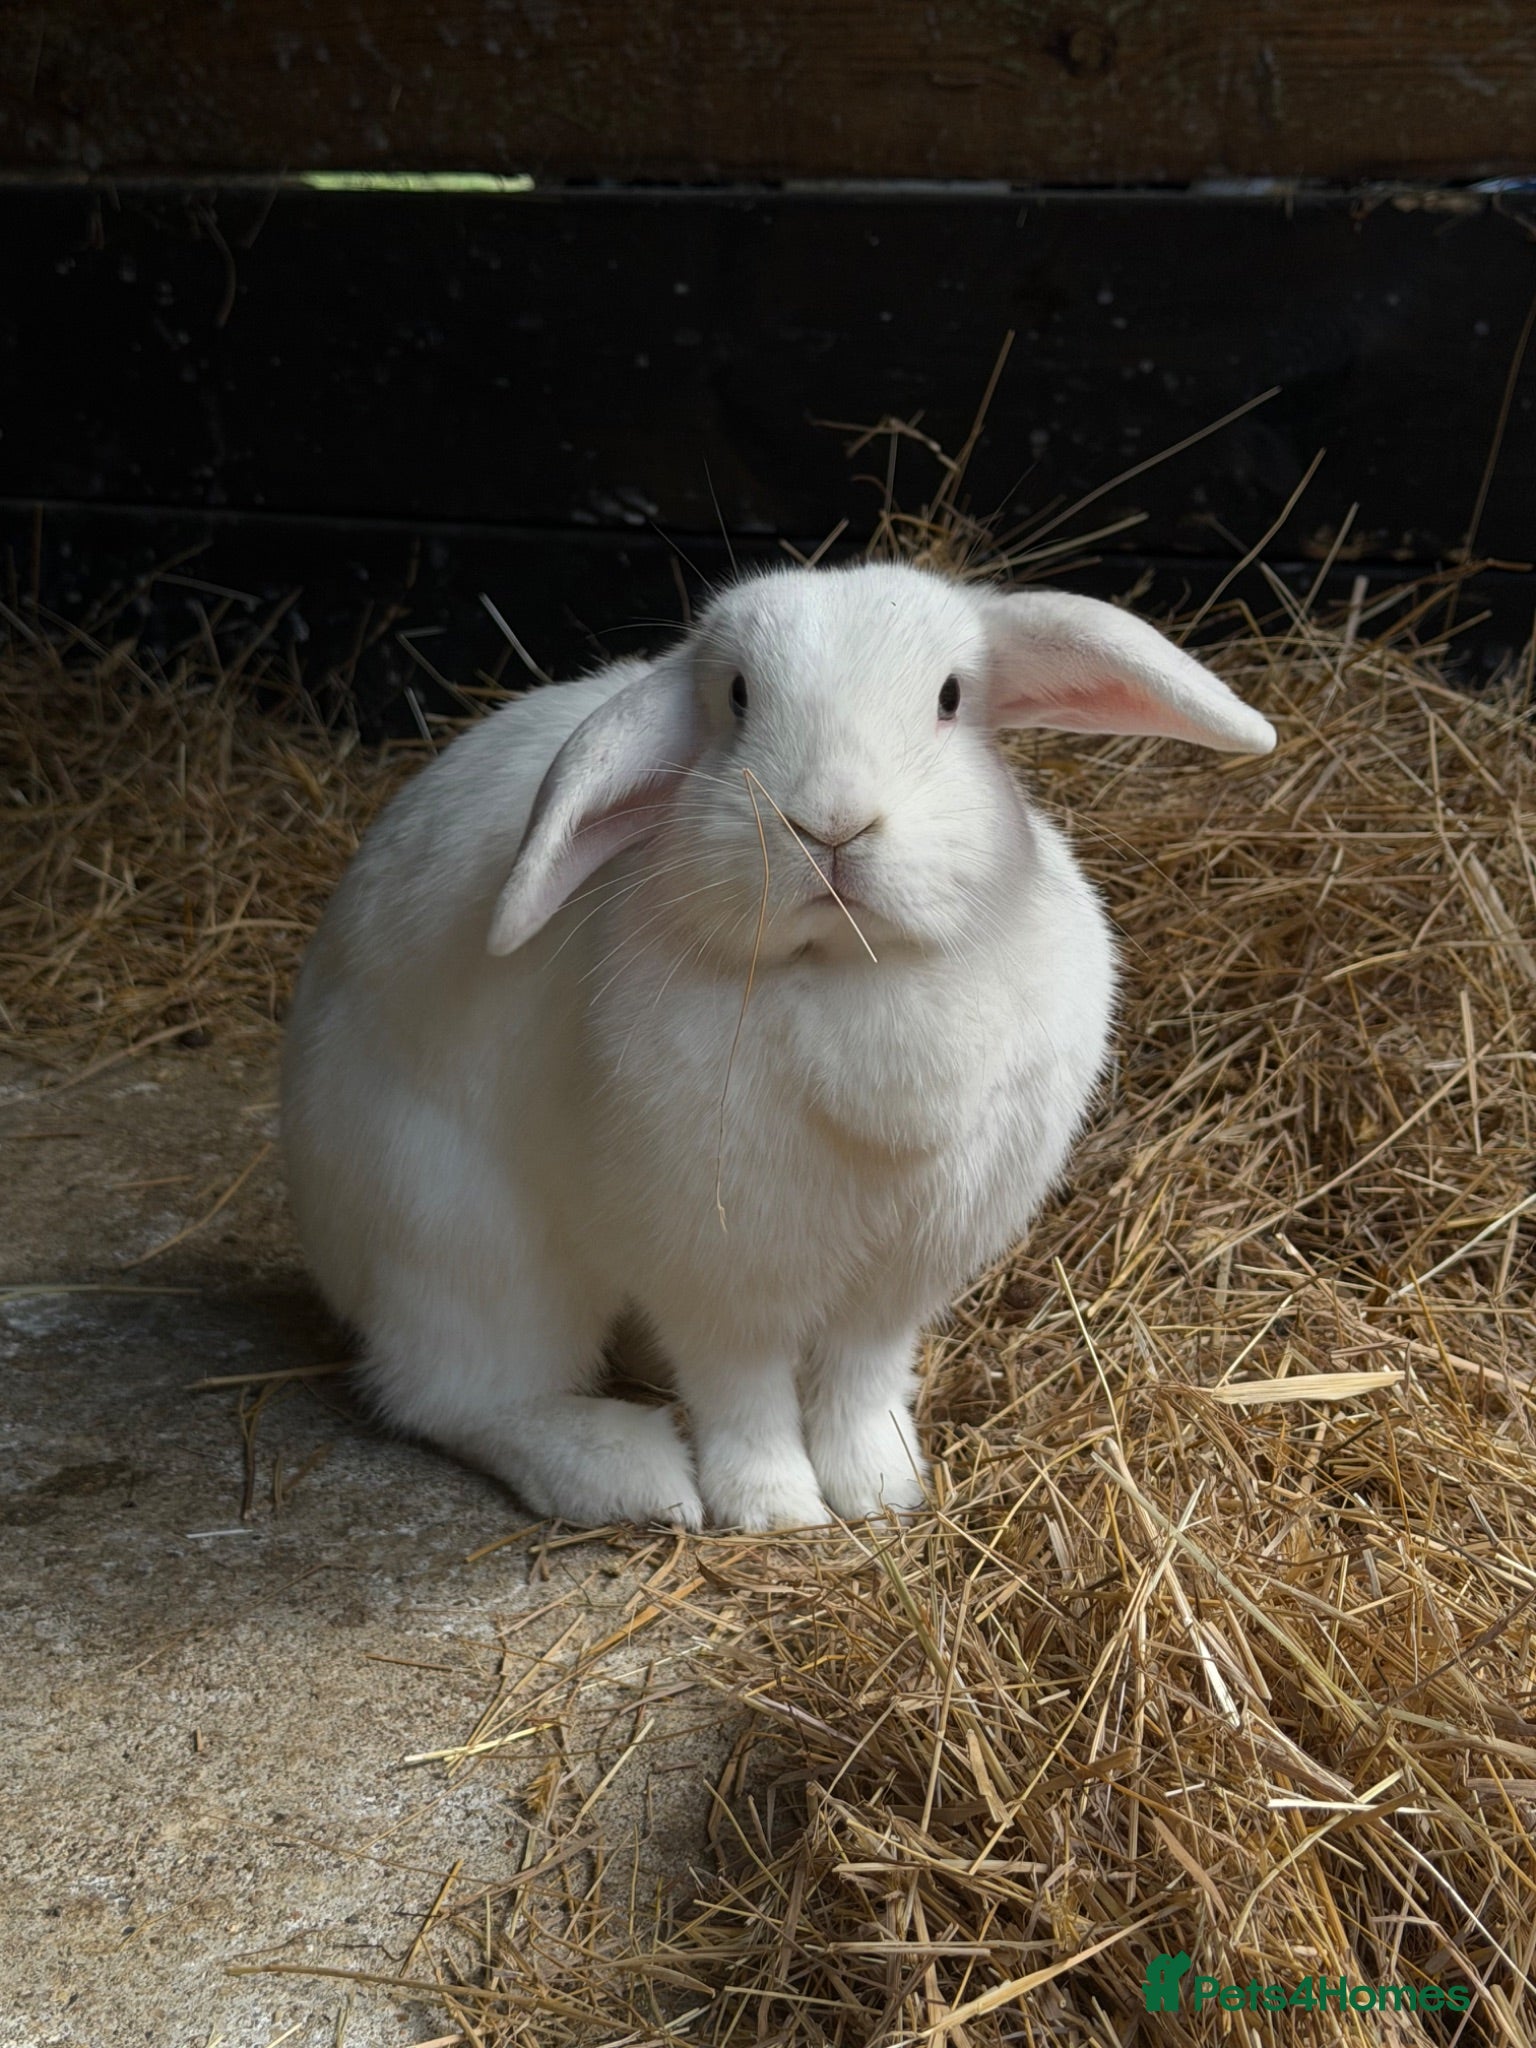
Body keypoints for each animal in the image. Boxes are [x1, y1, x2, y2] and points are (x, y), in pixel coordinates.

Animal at [281, 560, 1275, 1531]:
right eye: (737, 697)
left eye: (951, 697)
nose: (831, 821)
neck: (851, 967)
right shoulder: (717, 1275)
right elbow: (742, 1394)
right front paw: (777, 1511)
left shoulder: (898, 1277)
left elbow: (859, 1377)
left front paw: (882, 1491)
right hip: (467, 1246)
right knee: (456, 1397)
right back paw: (629, 1473)